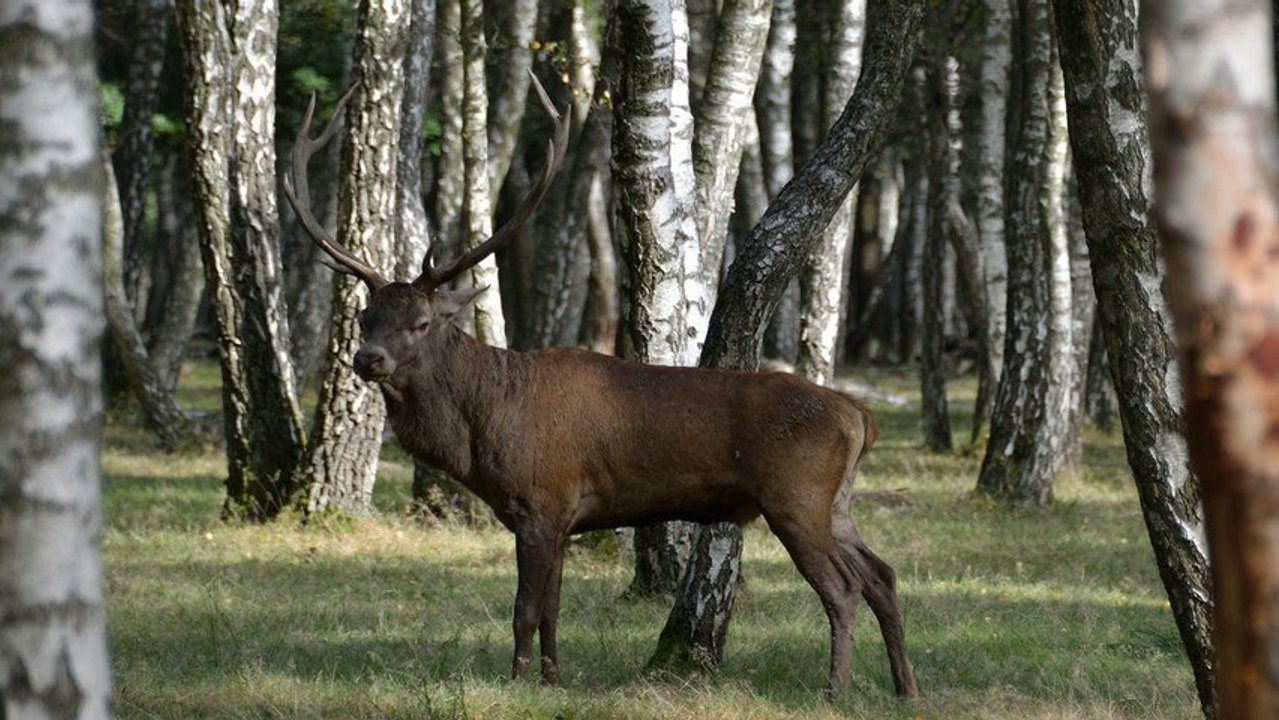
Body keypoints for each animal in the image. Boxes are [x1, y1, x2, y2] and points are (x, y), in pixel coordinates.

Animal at [283, 73, 918, 699]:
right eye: (365, 317)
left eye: (420, 322)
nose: (367, 359)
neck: (481, 430)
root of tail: (861, 416)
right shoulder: (560, 517)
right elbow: (552, 608)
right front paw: (552, 678)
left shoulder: (541, 499)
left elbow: (525, 609)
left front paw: (517, 682)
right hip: (836, 501)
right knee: (882, 575)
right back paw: (905, 686)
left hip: (796, 495)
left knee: (843, 587)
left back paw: (837, 689)